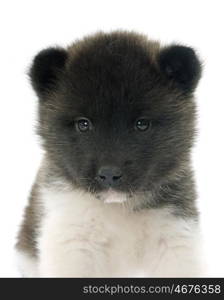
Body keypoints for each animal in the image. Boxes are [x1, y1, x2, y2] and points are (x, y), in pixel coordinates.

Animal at [15, 31, 203, 276]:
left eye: (142, 124)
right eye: (83, 124)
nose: (110, 174)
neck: (117, 209)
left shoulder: (175, 238)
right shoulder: (72, 243)